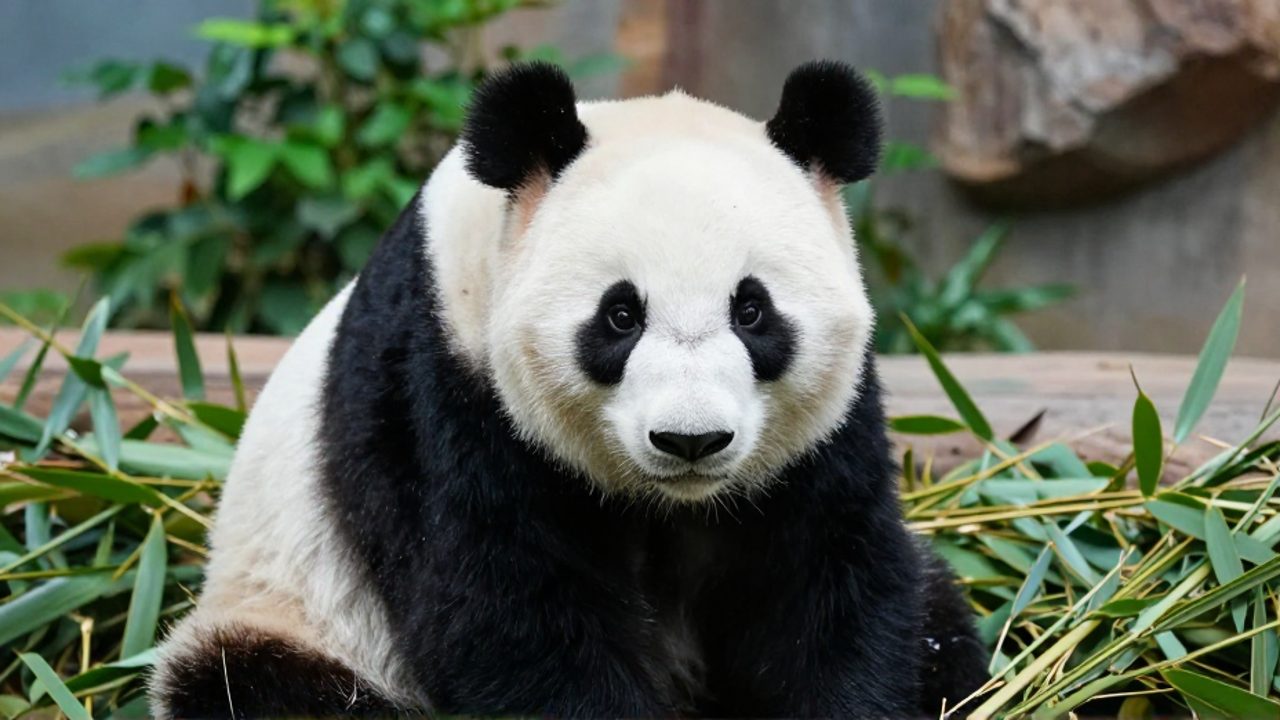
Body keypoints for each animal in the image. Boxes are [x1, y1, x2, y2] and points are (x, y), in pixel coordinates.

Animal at [149, 60, 988, 718]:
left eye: (752, 310)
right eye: (620, 315)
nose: (691, 440)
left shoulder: (823, 438)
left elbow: (823, 592)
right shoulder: (440, 393)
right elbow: (510, 613)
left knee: (939, 616)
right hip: (292, 610)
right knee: (260, 687)